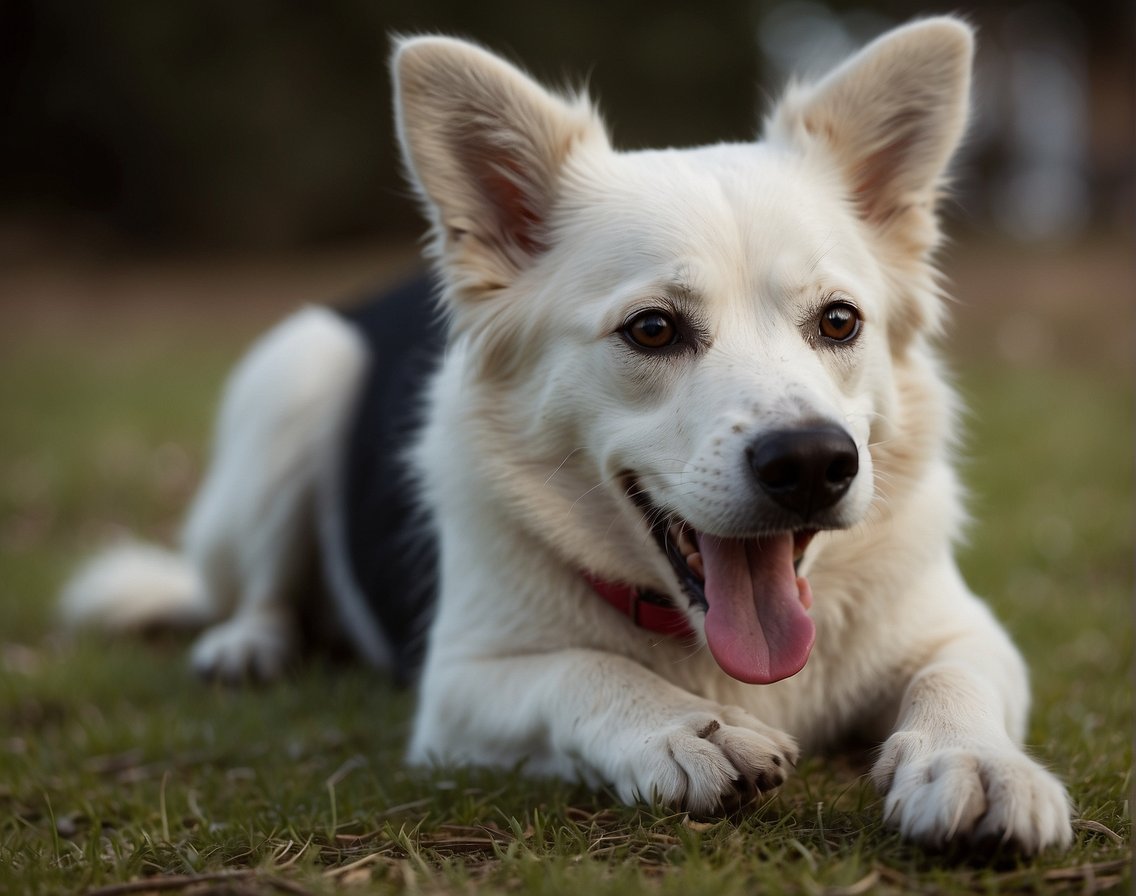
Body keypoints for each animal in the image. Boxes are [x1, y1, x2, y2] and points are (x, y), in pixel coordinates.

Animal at [62, 15, 1072, 853]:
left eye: (839, 322)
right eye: (653, 329)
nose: (815, 463)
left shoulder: (964, 630)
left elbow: (956, 682)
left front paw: (974, 762)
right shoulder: (459, 691)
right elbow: (579, 672)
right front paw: (682, 730)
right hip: (294, 383)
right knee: (256, 591)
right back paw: (248, 646)